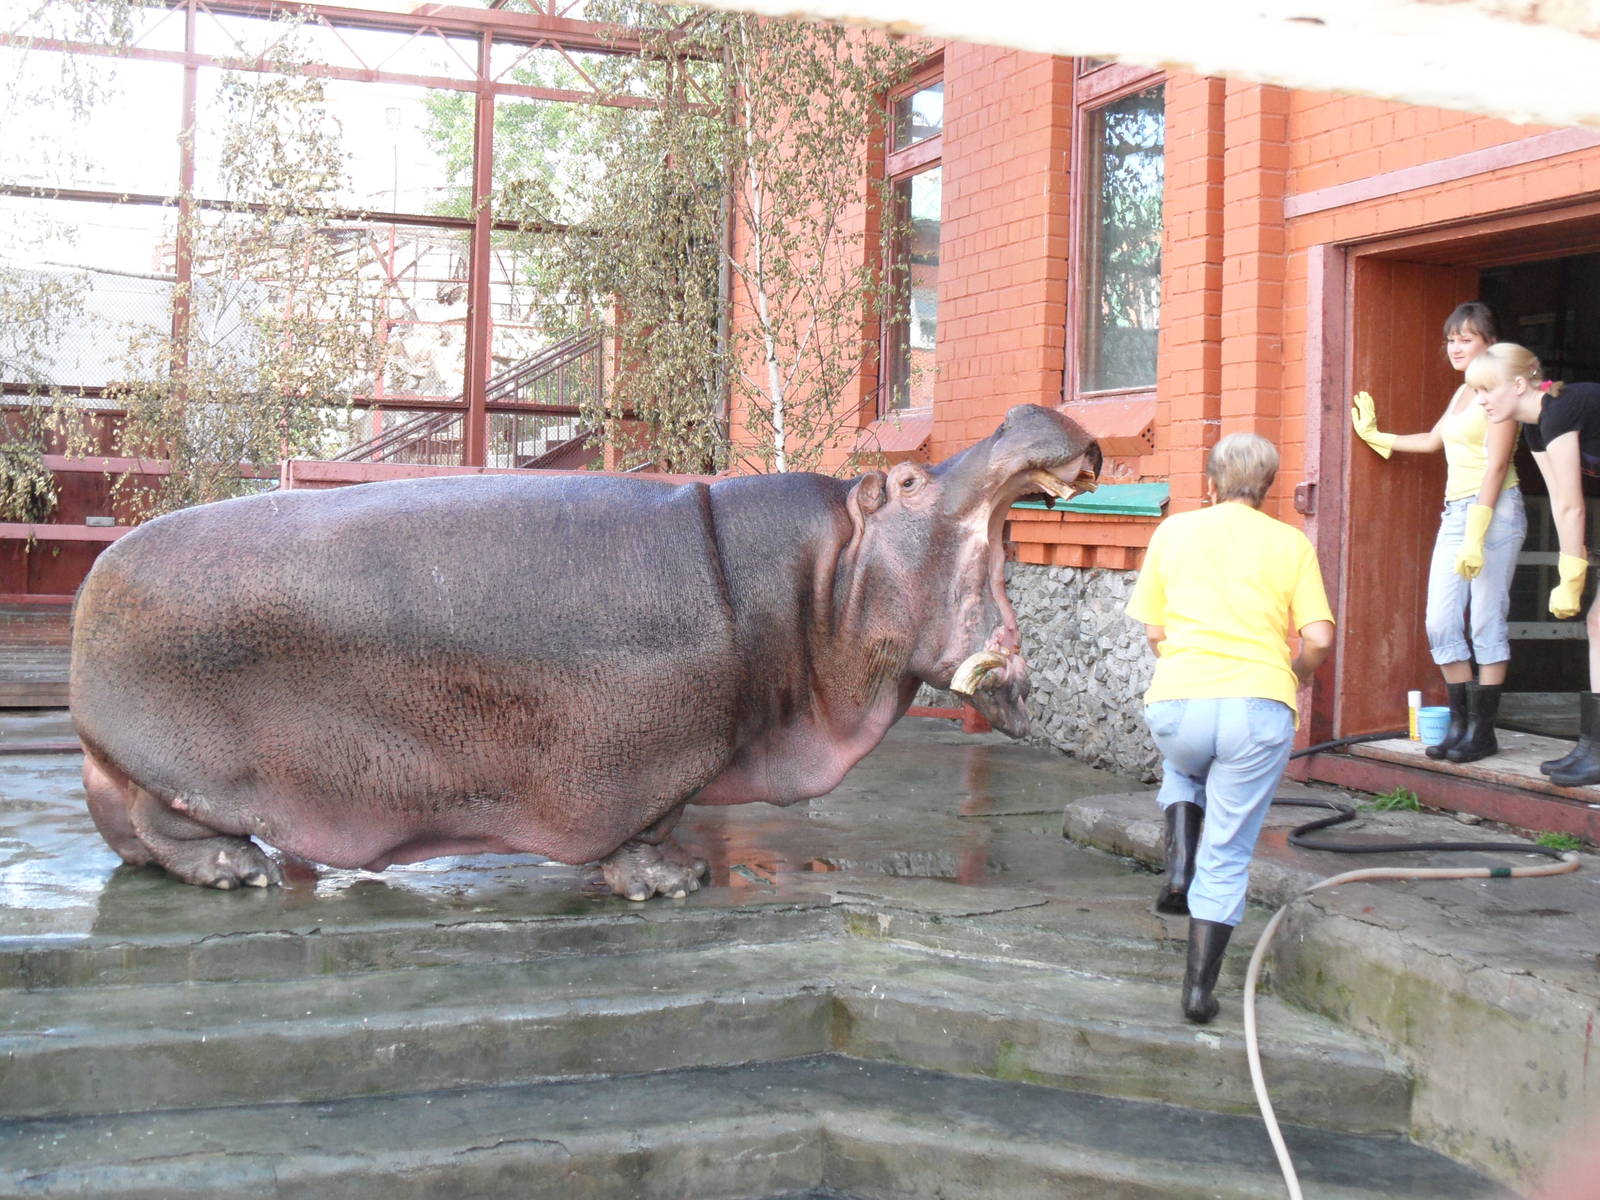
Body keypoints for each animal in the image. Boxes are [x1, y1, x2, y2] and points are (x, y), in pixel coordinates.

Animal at [70, 403, 1099, 900]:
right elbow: (642, 825)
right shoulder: (654, 752)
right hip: (178, 764)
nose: (1025, 410)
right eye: (911, 478)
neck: (822, 575)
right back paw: (235, 870)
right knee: (159, 825)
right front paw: (672, 883)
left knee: (125, 832)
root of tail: (94, 583)